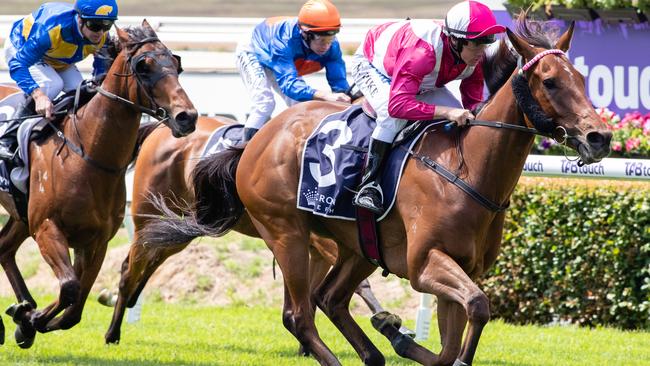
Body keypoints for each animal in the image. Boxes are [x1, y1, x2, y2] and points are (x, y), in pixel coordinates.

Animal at [0, 20, 196, 348]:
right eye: (143, 66)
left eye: (176, 63)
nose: (187, 117)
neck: (87, 156)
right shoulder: (46, 228)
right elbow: (69, 288)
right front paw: (27, 320)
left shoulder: (96, 241)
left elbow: (74, 308)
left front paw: (25, 318)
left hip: (20, 215)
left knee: (4, 249)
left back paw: (21, 308)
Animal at [104, 116, 412, 344]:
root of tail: (159, 129)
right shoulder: (323, 242)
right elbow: (359, 283)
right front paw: (390, 322)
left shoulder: (315, 247)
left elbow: (312, 293)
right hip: (149, 216)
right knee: (129, 268)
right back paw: (112, 331)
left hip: (179, 226)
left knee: (151, 260)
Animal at [140, 15, 608, 366]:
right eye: (550, 81)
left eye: (583, 78)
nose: (599, 137)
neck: (468, 169)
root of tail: (256, 140)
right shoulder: (425, 264)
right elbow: (476, 308)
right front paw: (411, 339)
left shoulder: (462, 268)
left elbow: (452, 340)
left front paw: (398, 334)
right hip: (286, 233)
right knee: (300, 314)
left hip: (358, 245)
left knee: (330, 299)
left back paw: (376, 349)